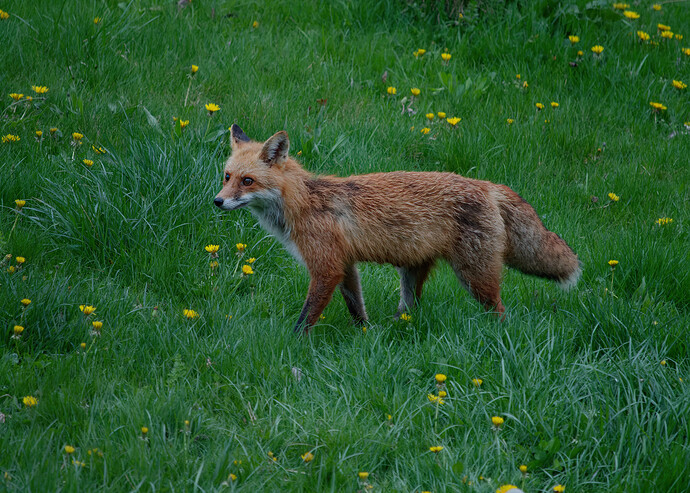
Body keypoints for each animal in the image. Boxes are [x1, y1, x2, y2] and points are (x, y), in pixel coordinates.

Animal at [212, 125, 576, 332]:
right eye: (227, 177)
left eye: (248, 181)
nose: (217, 201)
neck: (304, 202)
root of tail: (488, 185)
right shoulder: (346, 265)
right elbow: (356, 307)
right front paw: (365, 335)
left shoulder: (327, 266)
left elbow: (306, 318)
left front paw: (294, 344)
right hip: (411, 272)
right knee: (410, 309)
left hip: (475, 276)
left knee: (500, 311)